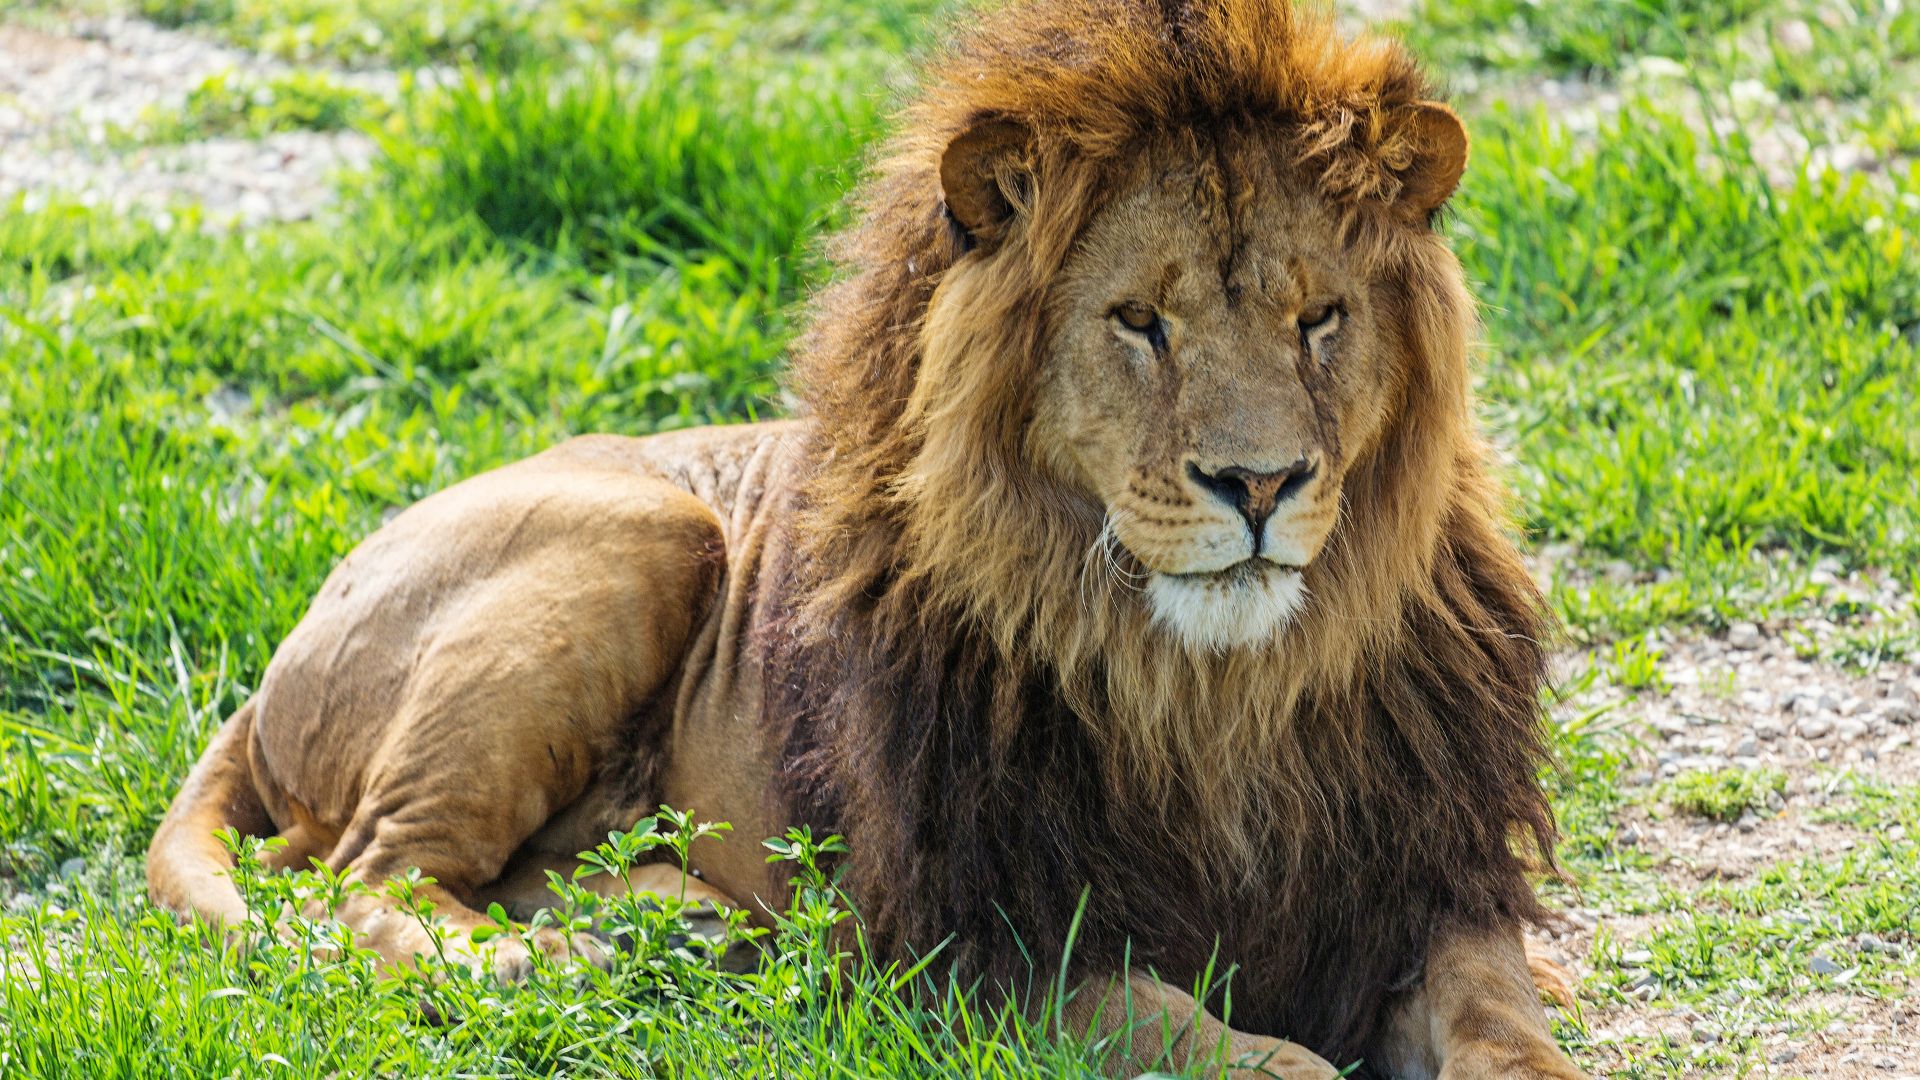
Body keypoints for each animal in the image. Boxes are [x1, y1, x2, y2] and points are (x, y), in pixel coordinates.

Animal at [147, 1, 1586, 1076]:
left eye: (1318, 319)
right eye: (1140, 322)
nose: (1261, 482)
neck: (1217, 690)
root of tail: (287, 647)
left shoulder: (1426, 886)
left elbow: (1499, 1017)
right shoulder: (979, 941)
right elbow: (1190, 1033)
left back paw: (673, 921)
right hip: (642, 532)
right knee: (357, 876)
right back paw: (542, 960)